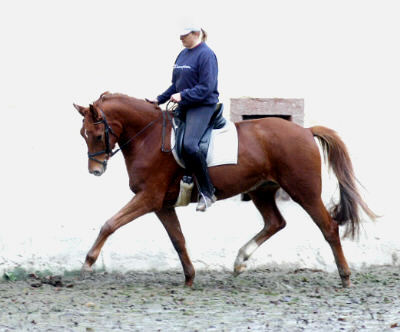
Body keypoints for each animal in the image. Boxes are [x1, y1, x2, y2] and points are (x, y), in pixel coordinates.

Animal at [73, 91, 376, 288]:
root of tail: (305, 131)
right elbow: (178, 240)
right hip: (261, 190)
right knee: (275, 222)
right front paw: (189, 278)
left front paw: (87, 263)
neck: (147, 137)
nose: (95, 171)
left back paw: (345, 276)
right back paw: (240, 260)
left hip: (304, 192)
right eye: (82, 135)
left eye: (97, 134)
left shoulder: (148, 197)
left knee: (328, 228)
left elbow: (110, 224)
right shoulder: (162, 205)